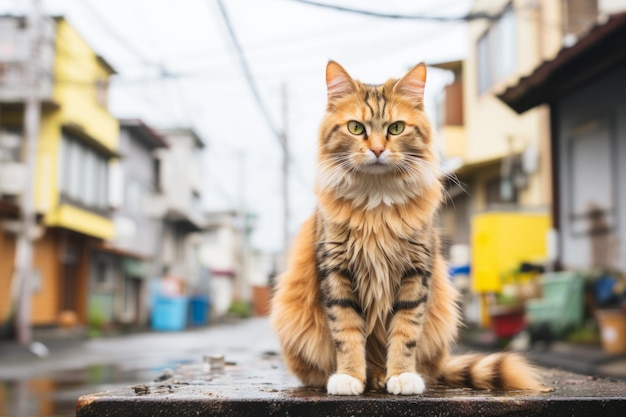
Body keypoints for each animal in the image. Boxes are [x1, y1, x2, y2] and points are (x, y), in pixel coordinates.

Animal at [268, 60, 544, 394]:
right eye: (355, 128)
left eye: (395, 128)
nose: (376, 150)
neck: (376, 204)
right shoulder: (336, 271)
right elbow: (347, 332)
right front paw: (350, 377)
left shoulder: (415, 272)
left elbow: (405, 332)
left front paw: (401, 375)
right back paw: (369, 377)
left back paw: (384, 376)